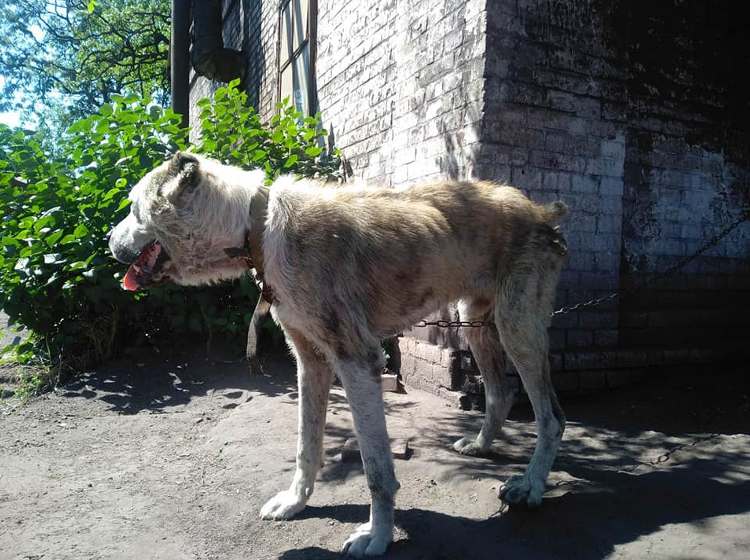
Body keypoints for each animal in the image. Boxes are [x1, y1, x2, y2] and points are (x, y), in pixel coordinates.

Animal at [108, 151, 568, 556]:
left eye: (133, 207)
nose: (108, 242)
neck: (258, 226)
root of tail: (540, 210)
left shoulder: (357, 362)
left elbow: (377, 469)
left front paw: (377, 537)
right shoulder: (310, 362)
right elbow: (306, 445)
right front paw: (295, 502)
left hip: (518, 330)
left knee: (552, 418)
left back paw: (530, 485)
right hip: (477, 324)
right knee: (501, 393)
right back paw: (481, 445)